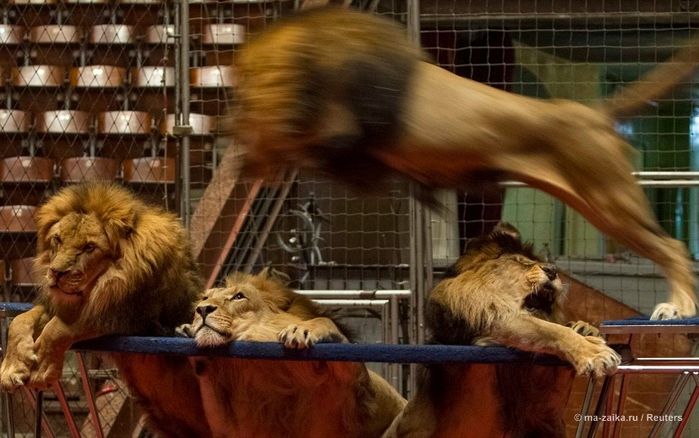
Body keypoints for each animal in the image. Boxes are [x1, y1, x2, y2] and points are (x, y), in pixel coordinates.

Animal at [0, 181, 211, 438]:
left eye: (89, 247)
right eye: (57, 240)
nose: (56, 273)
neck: (97, 287)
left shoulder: (126, 315)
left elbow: (56, 329)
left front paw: (42, 368)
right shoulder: (61, 305)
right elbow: (19, 321)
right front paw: (11, 367)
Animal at [178, 270, 408, 438]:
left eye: (239, 296)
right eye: (205, 297)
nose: (202, 309)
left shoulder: (360, 397)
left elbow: (327, 324)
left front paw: (302, 329)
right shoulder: (240, 428)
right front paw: (188, 332)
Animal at [232, 7, 699, 322]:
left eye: (260, 87)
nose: (231, 120)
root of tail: (592, 114)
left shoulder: (347, 127)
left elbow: (312, 144)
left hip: (609, 199)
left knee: (673, 248)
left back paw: (678, 307)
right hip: (594, 199)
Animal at [382, 222, 616, 438]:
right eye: (522, 262)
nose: (552, 270)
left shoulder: (545, 409)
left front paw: (585, 329)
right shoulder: (492, 324)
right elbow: (548, 329)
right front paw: (595, 352)